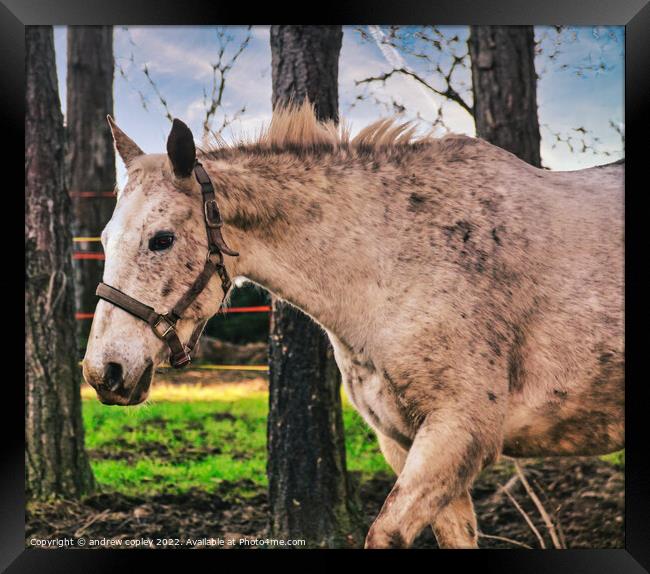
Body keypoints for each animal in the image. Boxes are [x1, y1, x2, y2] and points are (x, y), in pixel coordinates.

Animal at [82, 102, 624, 548]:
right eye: (105, 239)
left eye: (162, 239)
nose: (103, 371)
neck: (399, 265)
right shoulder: (405, 443)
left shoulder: (458, 435)